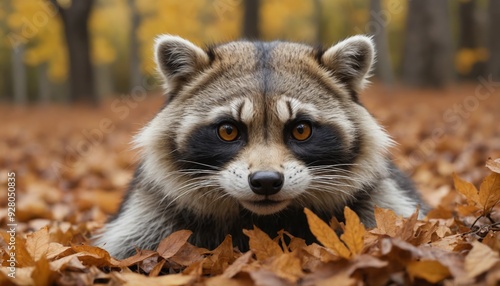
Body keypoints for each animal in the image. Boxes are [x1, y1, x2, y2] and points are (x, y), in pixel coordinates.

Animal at [95, 34, 428, 258]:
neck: (263, 220)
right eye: (228, 131)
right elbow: (123, 245)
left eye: (301, 130)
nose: (266, 182)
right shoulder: (149, 215)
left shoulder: (381, 201)